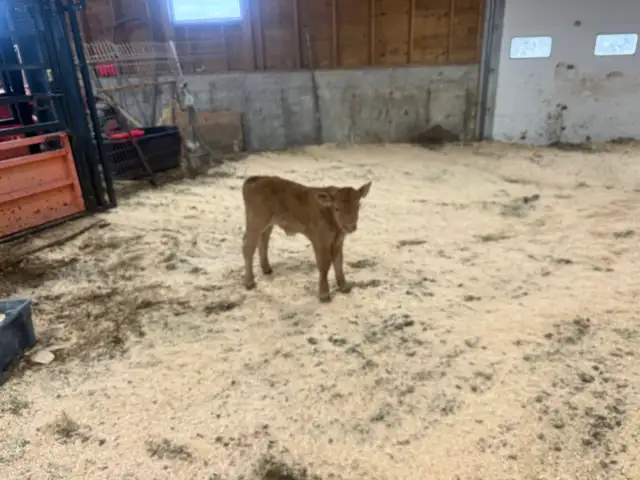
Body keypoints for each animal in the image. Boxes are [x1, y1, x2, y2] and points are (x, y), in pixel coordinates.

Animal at [241, 175, 372, 303]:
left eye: (358, 205)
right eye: (336, 208)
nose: (349, 226)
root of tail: (255, 179)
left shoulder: (338, 241)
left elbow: (338, 262)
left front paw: (344, 287)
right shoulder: (320, 242)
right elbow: (324, 265)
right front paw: (324, 295)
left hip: (268, 224)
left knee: (263, 241)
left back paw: (267, 269)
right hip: (256, 222)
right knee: (248, 247)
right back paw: (249, 282)